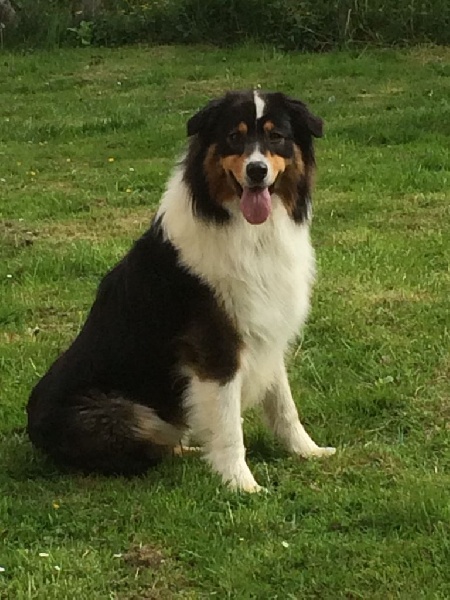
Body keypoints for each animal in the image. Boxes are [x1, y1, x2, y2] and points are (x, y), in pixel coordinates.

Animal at [27, 90, 335, 492]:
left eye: (276, 136)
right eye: (233, 137)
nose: (257, 171)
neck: (248, 231)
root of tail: (32, 430)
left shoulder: (266, 327)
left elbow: (283, 404)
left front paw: (306, 451)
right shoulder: (213, 344)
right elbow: (228, 423)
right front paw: (241, 484)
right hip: (126, 413)